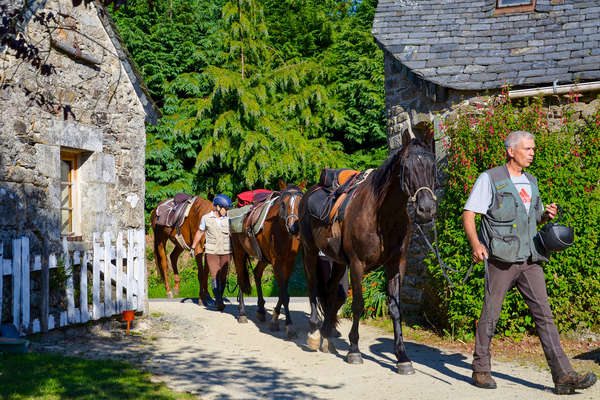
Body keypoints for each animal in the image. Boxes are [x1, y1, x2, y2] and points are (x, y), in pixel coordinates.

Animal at [230, 182, 304, 338]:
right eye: (283, 203)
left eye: (301, 203)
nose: (294, 227)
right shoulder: (277, 263)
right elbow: (284, 294)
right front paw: (289, 326)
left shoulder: (289, 262)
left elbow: (283, 293)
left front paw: (275, 319)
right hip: (239, 252)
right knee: (240, 278)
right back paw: (242, 313)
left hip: (263, 257)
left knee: (257, 273)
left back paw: (261, 310)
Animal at [298, 138, 436, 376]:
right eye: (406, 167)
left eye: (432, 166)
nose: (426, 209)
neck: (382, 215)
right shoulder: (357, 265)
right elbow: (358, 305)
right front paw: (354, 350)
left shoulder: (396, 265)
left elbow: (395, 309)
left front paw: (402, 357)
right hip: (310, 251)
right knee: (313, 286)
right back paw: (315, 333)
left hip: (338, 263)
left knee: (331, 291)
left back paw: (327, 336)